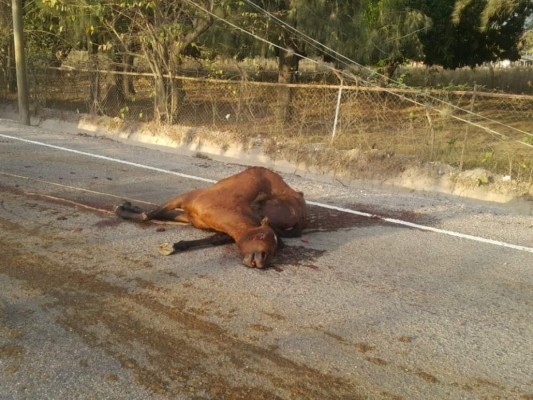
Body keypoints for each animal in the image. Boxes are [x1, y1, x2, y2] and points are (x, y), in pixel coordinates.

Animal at [115, 166, 308, 268]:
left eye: (275, 250)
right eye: (260, 235)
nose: (262, 259)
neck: (221, 207)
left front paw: (173, 246)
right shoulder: (185, 204)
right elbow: (149, 215)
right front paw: (123, 209)